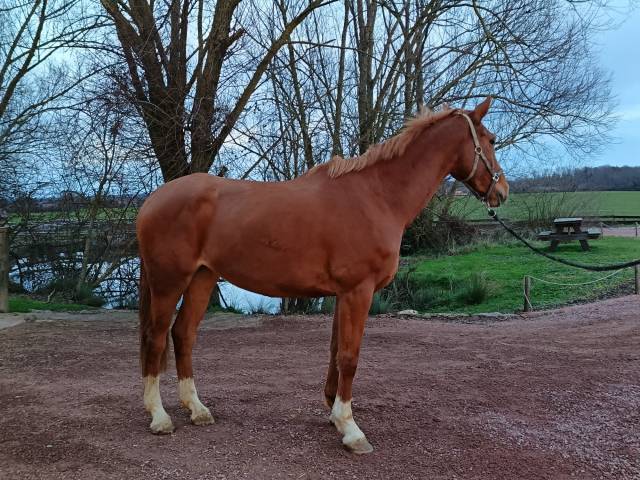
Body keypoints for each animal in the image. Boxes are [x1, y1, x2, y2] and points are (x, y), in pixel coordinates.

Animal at [136, 97, 509, 454]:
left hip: (203, 278)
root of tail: (151, 200)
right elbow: (350, 357)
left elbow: (335, 352)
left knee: (183, 334)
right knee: (156, 338)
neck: (377, 196)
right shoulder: (359, 291)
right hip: (169, 281)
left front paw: (334, 413)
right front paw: (352, 430)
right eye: (491, 140)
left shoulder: (343, 294)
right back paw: (159, 416)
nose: (501, 191)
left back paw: (197, 409)